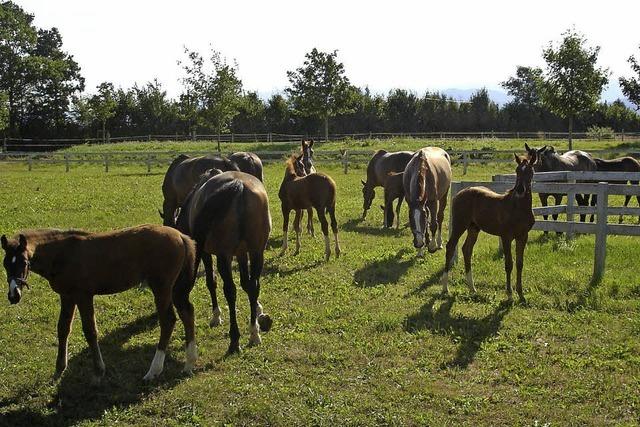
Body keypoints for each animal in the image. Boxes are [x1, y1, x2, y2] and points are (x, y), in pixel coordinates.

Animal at [175, 171, 272, 354]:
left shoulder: (206, 253)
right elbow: (246, 284)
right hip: (257, 252)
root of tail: (238, 186)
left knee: (230, 291)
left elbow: (211, 282)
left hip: (223, 255)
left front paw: (216, 316)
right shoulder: (242, 253)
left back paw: (234, 339)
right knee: (254, 286)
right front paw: (257, 312)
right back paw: (254, 334)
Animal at [440, 155, 536, 302]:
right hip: (459, 224)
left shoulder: (523, 236)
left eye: (530, 171)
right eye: (517, 170)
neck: (518, 207)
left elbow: (520, 263)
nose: (520, 190)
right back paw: (445, 287)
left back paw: (472, 288)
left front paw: (521, 295)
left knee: (466, 249)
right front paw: (509, 294)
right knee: (450, 247)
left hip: (473, 228)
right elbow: (509, 264)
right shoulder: (506, 237)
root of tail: (459, 194)